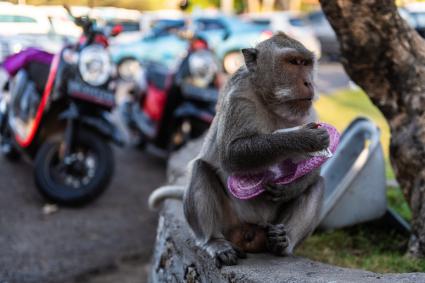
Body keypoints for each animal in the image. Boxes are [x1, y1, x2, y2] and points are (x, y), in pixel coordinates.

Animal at [148, 32, 328, 268]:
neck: (272, 103)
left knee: (317, 185)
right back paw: (214, 241)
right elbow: (232, 155)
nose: (309, 82)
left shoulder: (309, 110)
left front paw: (288, 188)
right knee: (200, 168)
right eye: (293, 62)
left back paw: (283, 242)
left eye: (306, 63)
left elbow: (315, 168)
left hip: (271, 225)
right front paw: (302, 138)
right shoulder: (239, 96)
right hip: (229, 221)